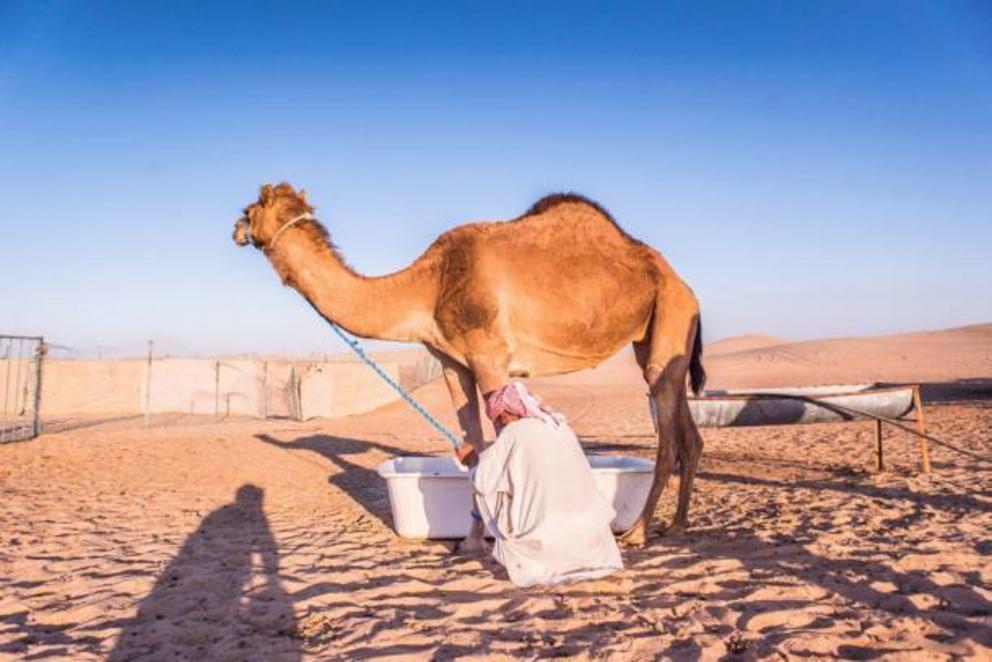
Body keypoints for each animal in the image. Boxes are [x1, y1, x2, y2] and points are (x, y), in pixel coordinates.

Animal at [232, 184, 704, 548]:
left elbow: (503, 447)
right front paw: (474, 540)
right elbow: (475, 450)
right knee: (689, 433)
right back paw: (678, 525)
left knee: (668, 441)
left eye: (249, 207)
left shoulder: (490, 358)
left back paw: (638, 531)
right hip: (658, 340)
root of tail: (685, 286)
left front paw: (508, 538)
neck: (430, 285)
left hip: (669, 322)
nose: (235, 230)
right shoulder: (452, 364)